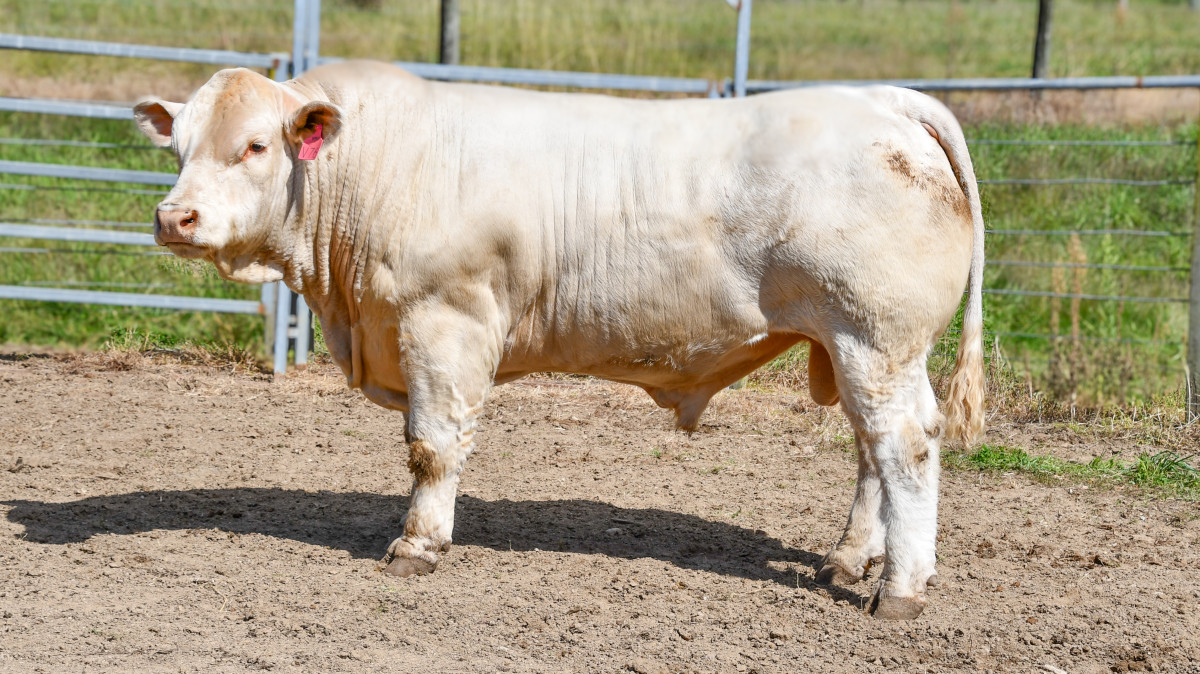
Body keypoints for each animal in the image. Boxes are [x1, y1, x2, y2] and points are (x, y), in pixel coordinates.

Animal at [133, 60, 984, 620]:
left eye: (255, 146)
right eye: (177, 148)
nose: (174, 217)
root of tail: (886, 101)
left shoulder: (444, 323)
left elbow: (433, 447)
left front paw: (419, 544)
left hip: (875, 337)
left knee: (905, 444)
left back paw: (900, 589)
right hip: (856, 347)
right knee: (874, 447)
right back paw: (850, 557)